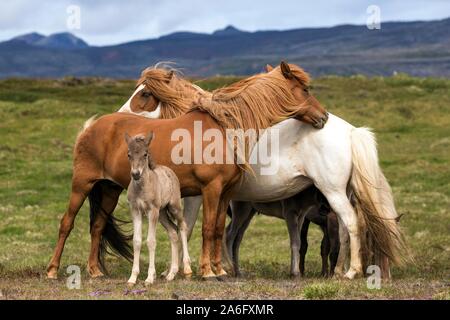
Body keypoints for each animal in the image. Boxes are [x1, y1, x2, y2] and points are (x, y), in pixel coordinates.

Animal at [125, 131, 192, 286]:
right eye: (129, 154)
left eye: (145, 154)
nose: (135, 174)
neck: (142, 188)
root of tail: (169, 170)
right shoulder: (135, 210)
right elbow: (137, 241)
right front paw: (132, 278)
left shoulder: (152, 211)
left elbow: (151, 241)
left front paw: (150, 277)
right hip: (162, 214)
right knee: (173, 232)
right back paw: (171, 273)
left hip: (173, 207)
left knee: (182, 226)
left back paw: (187, 269)